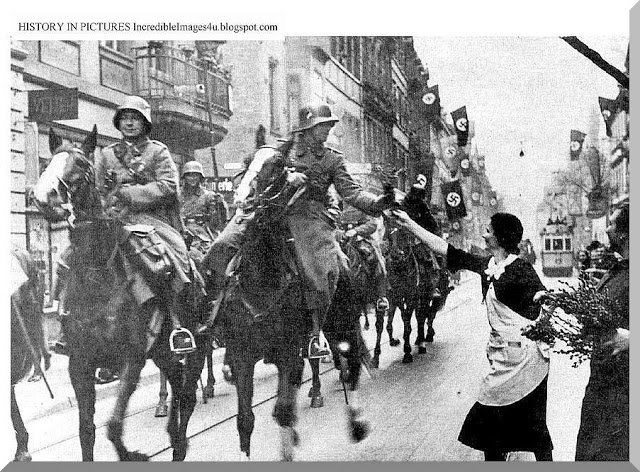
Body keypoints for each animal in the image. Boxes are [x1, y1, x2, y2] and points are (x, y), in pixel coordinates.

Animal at [30, 126, 206, 460]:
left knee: (188, 390)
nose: (44, 196)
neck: (98, 273)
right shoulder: (80, 363)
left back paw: (179, 441)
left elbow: (112, 425)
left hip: (193, 344)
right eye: (50, 162)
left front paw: (132, 455)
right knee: (176, 382)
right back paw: (173, 433)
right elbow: (86, 431)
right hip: (161, 352)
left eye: (82, 163)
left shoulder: (132, 359)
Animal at [210, 145, 370, 460]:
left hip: (342, 321)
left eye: (278, 165)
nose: (243, 199)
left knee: (352, 362)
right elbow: (245, 420)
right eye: (246, 164)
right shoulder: (241, 355)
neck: (260, 283)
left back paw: (356, 422)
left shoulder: (288, 352)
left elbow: (283, 410)